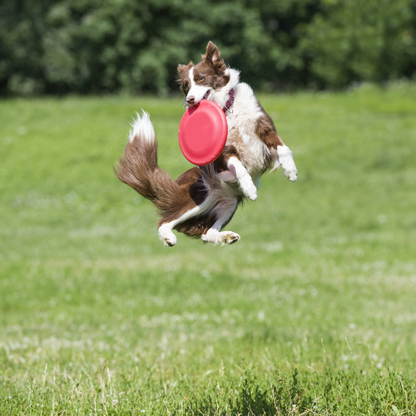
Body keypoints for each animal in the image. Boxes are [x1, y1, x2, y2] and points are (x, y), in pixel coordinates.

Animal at [115, 40, 298, 245]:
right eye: (186, 86)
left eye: (201, 79)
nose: (189, 100)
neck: (227, 108)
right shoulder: (224, 152)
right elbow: (239, 167)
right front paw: (250, 188)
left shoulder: (264, 128)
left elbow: (283, 148)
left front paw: (291, 171)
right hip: (200, 193)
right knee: (166, 221)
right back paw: (169, 237)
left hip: (229, 202)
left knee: (207, 232)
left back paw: (227, 236)